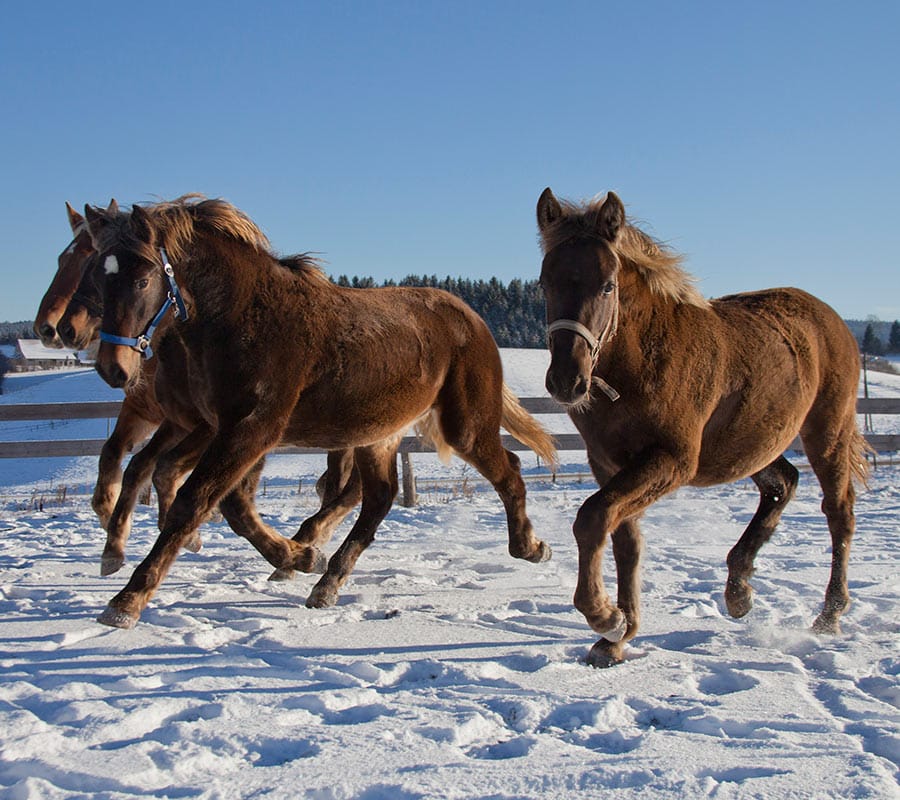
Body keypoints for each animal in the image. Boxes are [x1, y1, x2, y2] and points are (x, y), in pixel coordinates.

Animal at [536, 188, 868, 668]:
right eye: (545, 283)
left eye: (607, 285)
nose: (567, 380)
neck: (641, 363)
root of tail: (833, 320)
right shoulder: (607, 464)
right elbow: (624, 540)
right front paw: (618, 635)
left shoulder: (673, 461)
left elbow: (593, 518)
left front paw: (605, 616)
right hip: (751, 442)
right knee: (783, 482)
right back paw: (739, 590)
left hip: (828, 432)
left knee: (839, 512)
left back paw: (829, 615)